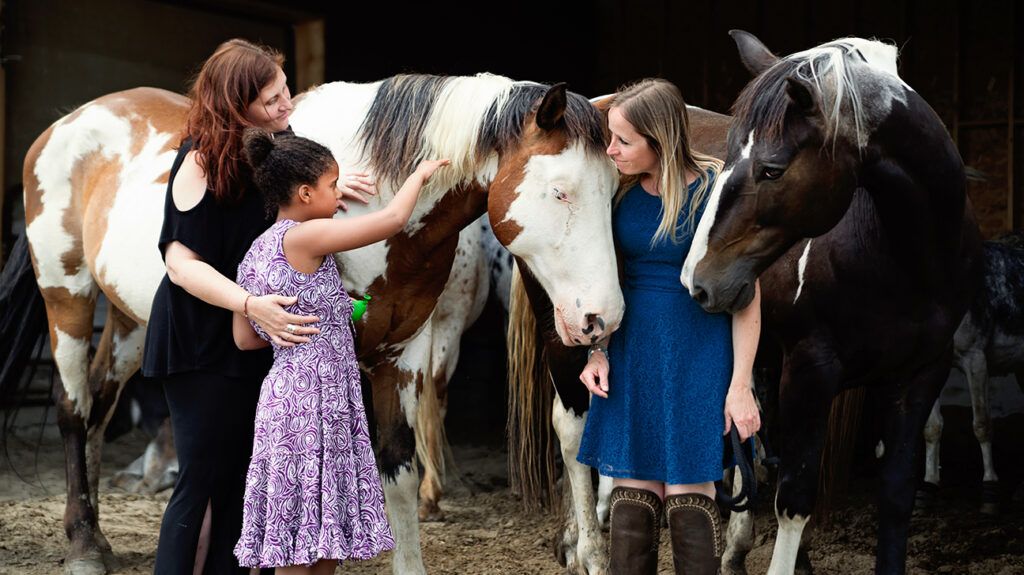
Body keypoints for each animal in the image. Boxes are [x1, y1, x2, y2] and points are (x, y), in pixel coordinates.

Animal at [24, 75, 618, 572]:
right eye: (560, 190)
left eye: (613, 192)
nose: (602, 317)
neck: (370, 202)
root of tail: (65, 124)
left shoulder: (402, 353)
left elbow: (398, 470)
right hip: (67, 299)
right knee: (75, 410)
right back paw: (83, 545)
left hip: (130, 325)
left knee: (100, 405)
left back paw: (99, 536)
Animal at [679, 32, 974, 572]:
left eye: (772, 169)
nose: (698, 280)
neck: (907, 261)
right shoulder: (810, 373)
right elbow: (794, 500)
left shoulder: (921, 374)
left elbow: (896, 494)